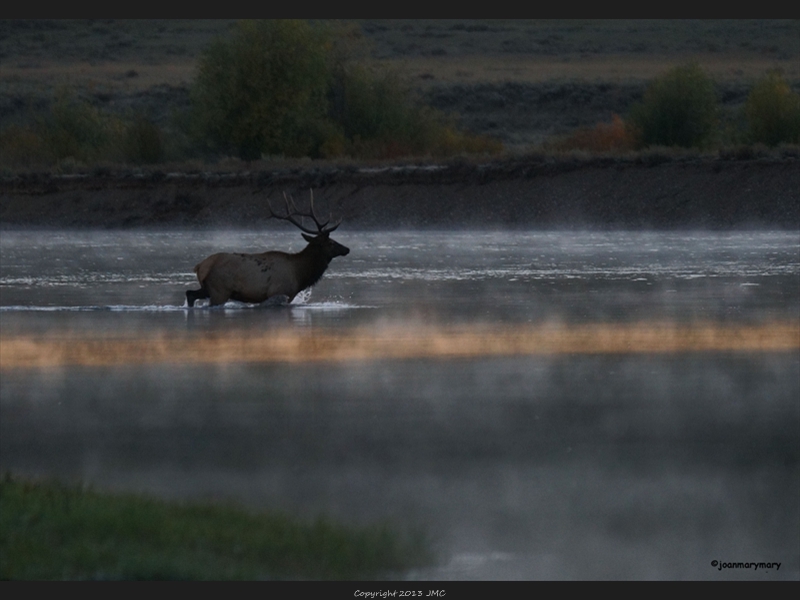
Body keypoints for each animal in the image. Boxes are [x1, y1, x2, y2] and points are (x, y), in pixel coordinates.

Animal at [189, 190, 352, 308]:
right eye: (330, 242)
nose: (347, 249)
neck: (299, 274)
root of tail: (200, 266)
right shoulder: (280, 292)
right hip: (220, 290)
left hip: (207, 289)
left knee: (190, 293)